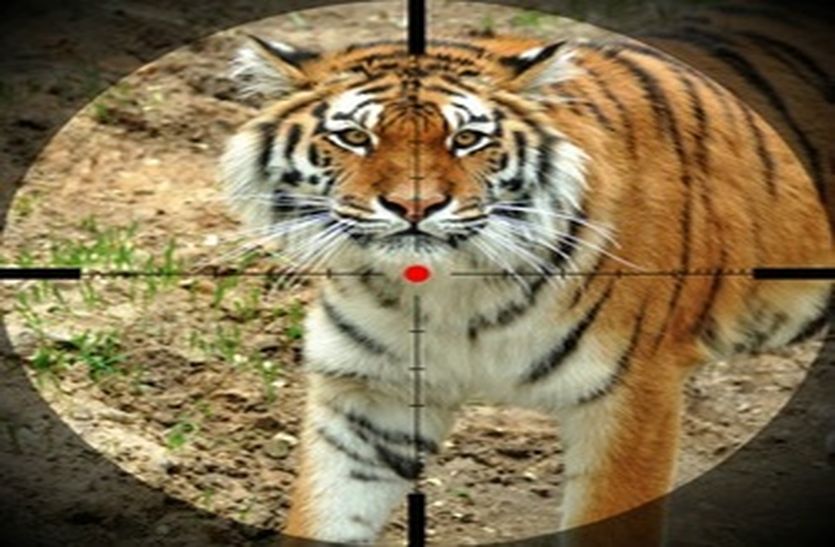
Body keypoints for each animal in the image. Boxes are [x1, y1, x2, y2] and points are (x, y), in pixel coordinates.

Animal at [219, 7, 833, 545]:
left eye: (467, 139)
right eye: (353, 137)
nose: (415, 206)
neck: (444, 291)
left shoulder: (634, 391)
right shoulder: (370, 395)